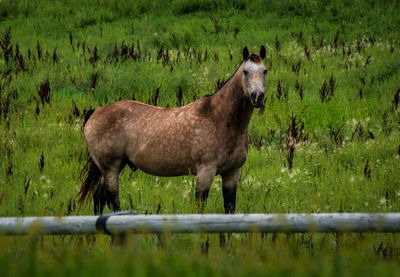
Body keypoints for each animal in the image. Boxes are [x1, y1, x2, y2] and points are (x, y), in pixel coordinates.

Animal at [77, 45, 266, 213]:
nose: (257, 96)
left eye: (264, 70)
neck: (220, 119)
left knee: (99, 199)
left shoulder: (232, 173)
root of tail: (95, 112)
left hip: (114, 167)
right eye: (245, 71)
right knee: (112, 201)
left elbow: (229, 209)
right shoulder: (205, 172)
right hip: (111, 168)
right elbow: (199, 208)